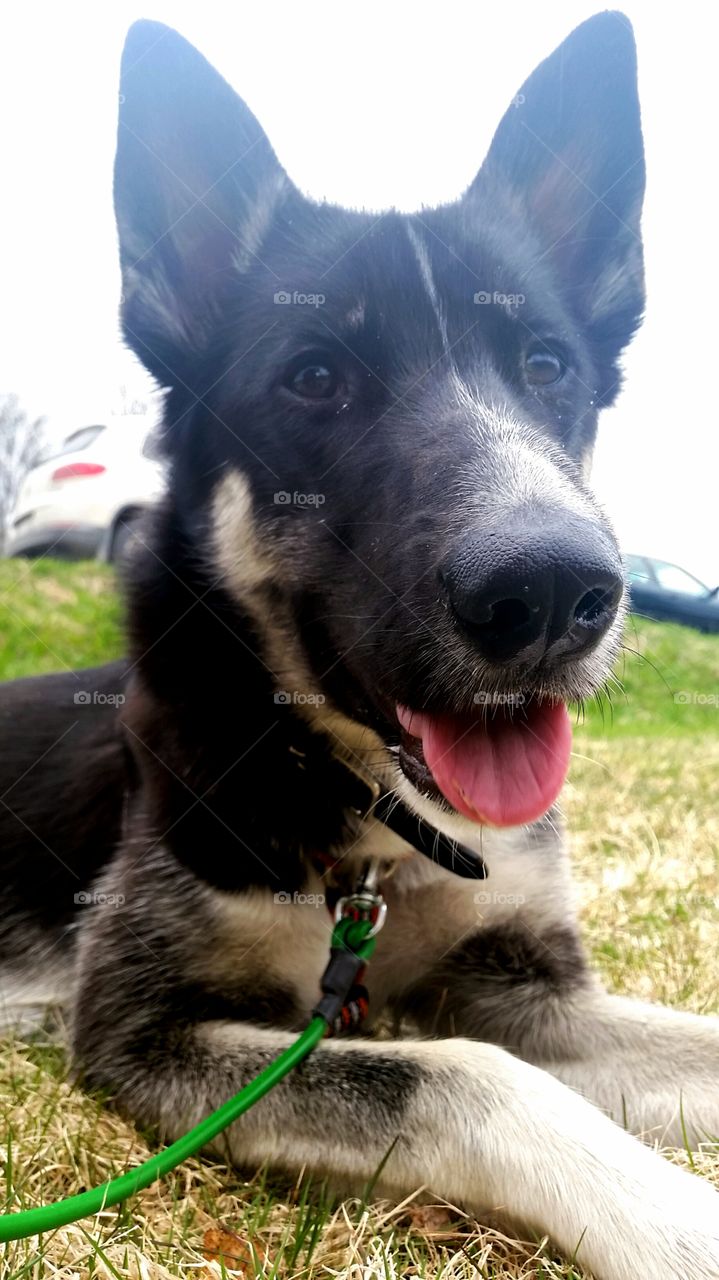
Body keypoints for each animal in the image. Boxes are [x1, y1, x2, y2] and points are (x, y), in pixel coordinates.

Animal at [1, 12, 716, 1280]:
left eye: (544, 364)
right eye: (315, 377)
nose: (552, 590)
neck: (377, 827)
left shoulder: (523, 983)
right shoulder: (145, 1029)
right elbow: (465, 1076)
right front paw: (682, 1219)